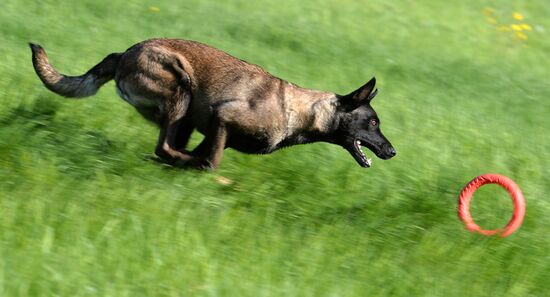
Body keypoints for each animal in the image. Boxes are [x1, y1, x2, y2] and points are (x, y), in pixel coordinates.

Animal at [30, 38, 396, 169]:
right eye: (373, 123)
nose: (392, 151)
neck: (300, 111)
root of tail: (123, 54)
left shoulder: (213, 133)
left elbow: (207, 153)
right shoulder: (222, 118)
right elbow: (213, 161)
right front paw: (201, 168)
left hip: (183, 117)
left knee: (167, 147)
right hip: (180, 88)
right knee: (164, 147)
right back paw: (179, 161)